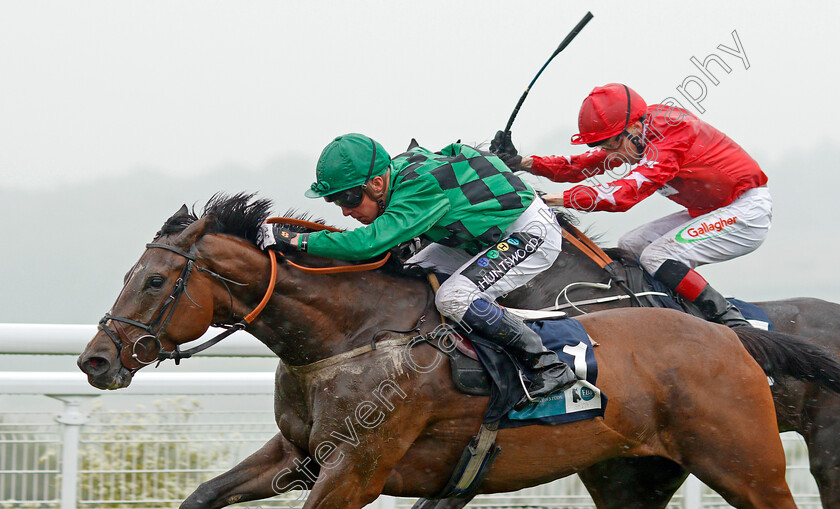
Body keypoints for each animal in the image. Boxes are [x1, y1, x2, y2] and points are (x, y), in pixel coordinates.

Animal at [79, 194, 840, 508]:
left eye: (154, 280)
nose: (94, 359)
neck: (351, 335)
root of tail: (730, 334)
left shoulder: (356, 469)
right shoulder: (298, 455)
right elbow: (205, 492)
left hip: (748, 464)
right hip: (634, 475)